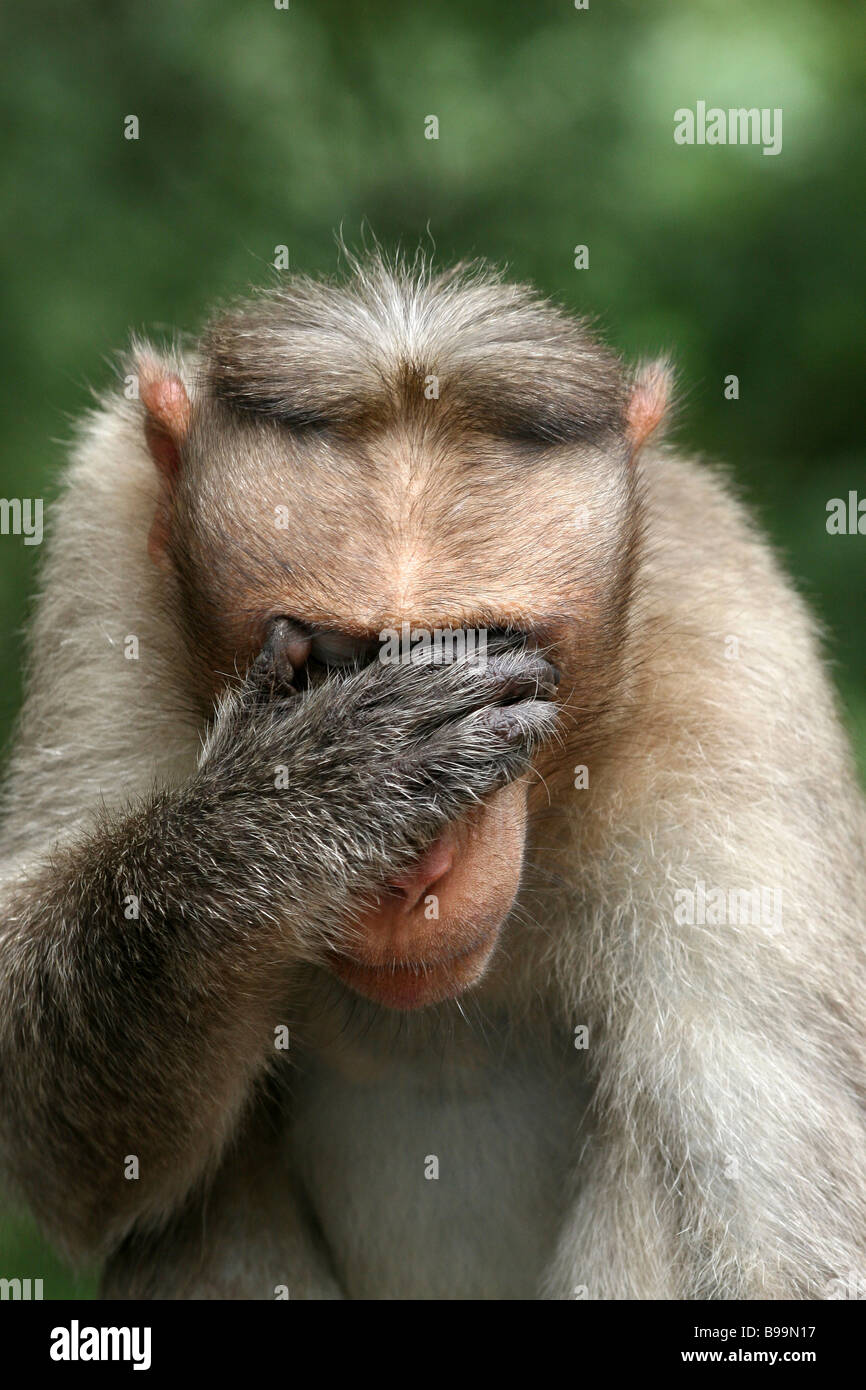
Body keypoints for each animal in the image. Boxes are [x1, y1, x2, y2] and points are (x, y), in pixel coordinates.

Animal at [1, 252, 866, 1301]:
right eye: (320, 657)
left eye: (504, 653)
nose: (417, 876)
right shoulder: (106, 547)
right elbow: (54, 1135)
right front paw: (312, 791)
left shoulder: (728, 652)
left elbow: (789, 1248)